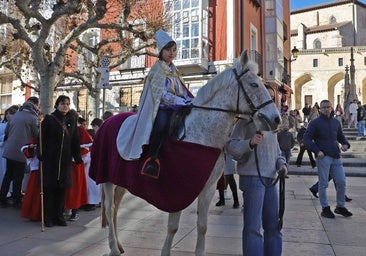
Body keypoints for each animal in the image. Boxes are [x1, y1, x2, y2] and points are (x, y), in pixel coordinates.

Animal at [90, 50, 282, 256]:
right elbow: (173, 227)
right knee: (109, 209)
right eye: (254, 84)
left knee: (116, 208)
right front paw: (165, 252)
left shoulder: (208, 187)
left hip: (121, 180)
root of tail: (107, 122)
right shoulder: (177, 189)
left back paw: (118, 245)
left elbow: (202, 226)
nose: (276, 119)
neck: (201, 134)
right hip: (107, 179)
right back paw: (113, 248)